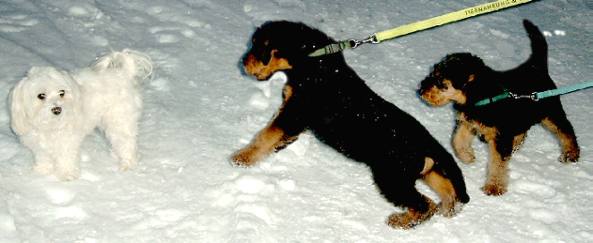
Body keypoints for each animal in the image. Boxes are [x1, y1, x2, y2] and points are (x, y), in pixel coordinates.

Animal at [9, 49, 153, 180]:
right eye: (41, 95)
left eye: (62, 92)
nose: (57, 109)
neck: (51, 125)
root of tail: (124, 73)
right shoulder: (40, 146)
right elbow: (43, 158)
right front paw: (42, 171)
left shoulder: (67, 141)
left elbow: (66, 159)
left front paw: (67, 175)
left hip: (119, 119)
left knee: (126, 142)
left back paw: (127, 163)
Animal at [230, 21, 468, 230]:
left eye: (257, 46)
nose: (242, 63)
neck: (313, 61)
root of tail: (429, 144)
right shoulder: (291, 113)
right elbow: (273, 135)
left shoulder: (294, 112)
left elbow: (266, 134)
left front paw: (241, 158)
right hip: (423, 171)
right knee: (445, 190)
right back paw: (449, 208)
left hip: (391, 177)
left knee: (425, 205)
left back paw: (400, 221)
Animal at [416, 19, 580, 196]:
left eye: (440, 81)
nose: (421, 91)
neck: (478, 95)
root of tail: (536, 67)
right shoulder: (468, 122)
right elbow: (457, 140)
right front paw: (467, 157)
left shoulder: (500, 136)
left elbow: (497, 162)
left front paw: (494, 187)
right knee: (524, 130)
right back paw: (516, 144)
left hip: (550, 112)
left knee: (566, 130)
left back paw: (571, 154)